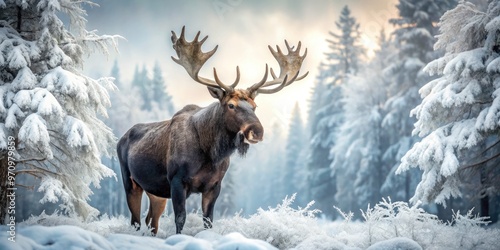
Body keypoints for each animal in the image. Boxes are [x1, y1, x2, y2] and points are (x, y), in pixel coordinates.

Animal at [117, 26, 306, 234]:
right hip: (130, 181)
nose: (256, 131)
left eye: (254, 106)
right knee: (135, 221)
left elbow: (208, 221)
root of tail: (121, 138)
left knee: (151, 221)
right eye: (231, 105)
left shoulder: (214, 185)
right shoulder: (176, 180)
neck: (210, 154)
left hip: (156, 192)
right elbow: (180, 219)